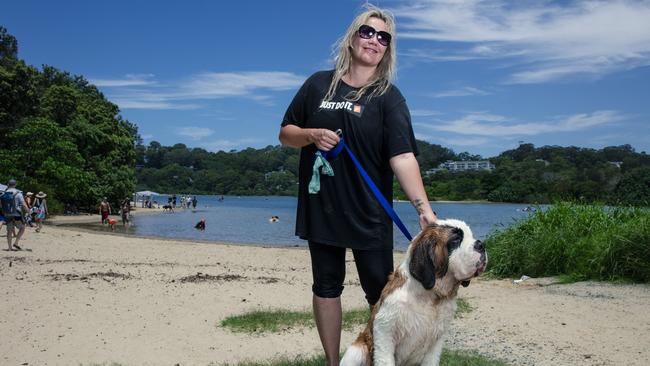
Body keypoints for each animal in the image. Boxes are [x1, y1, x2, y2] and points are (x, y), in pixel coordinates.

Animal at [340, 219, 486, 364]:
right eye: (456, 240)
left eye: (471, 236)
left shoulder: (436, 341)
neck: (430, 296)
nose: (481, 244)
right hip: (356, 350)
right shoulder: (384, 330)